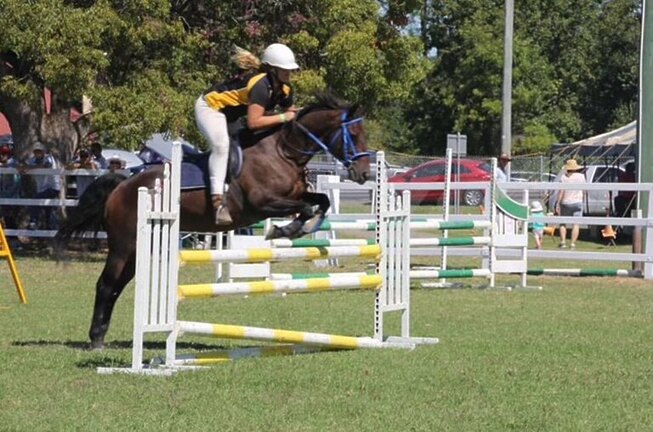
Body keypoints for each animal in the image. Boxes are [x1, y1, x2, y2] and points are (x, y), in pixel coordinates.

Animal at [54, 93, 372, 350]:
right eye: (354, 133)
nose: (364, 174)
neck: (284, 151)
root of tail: (122, 184)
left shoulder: (294, 194)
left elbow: (322, 201)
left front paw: (305, 227)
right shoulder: (263, 203)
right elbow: (305, 208)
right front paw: (286, 229)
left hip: (140, 248)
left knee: (116, 286)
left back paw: (101, 335)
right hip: (124, 244)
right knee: (106, 284)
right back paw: (96, 340)